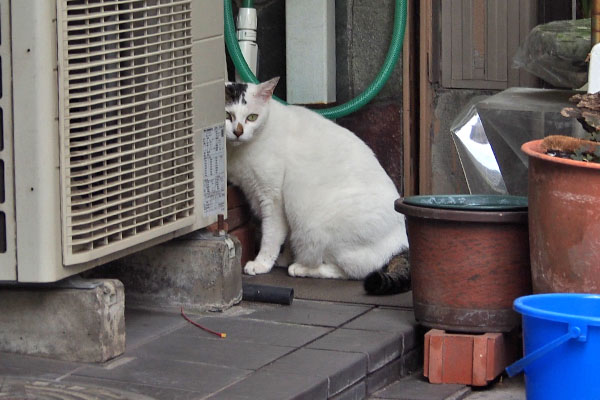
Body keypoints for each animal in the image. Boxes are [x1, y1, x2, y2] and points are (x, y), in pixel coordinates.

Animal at [224, 76, 408, 280]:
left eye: (252, 117)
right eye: (227, 115)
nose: (238, 131)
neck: (238, 151)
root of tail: (401, 242)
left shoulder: (272, 198)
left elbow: (271, 235)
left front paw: (262, 263)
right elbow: (286, 236)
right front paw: (283, 258)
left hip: (318, 228)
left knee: (349, 272)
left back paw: (301, 268)